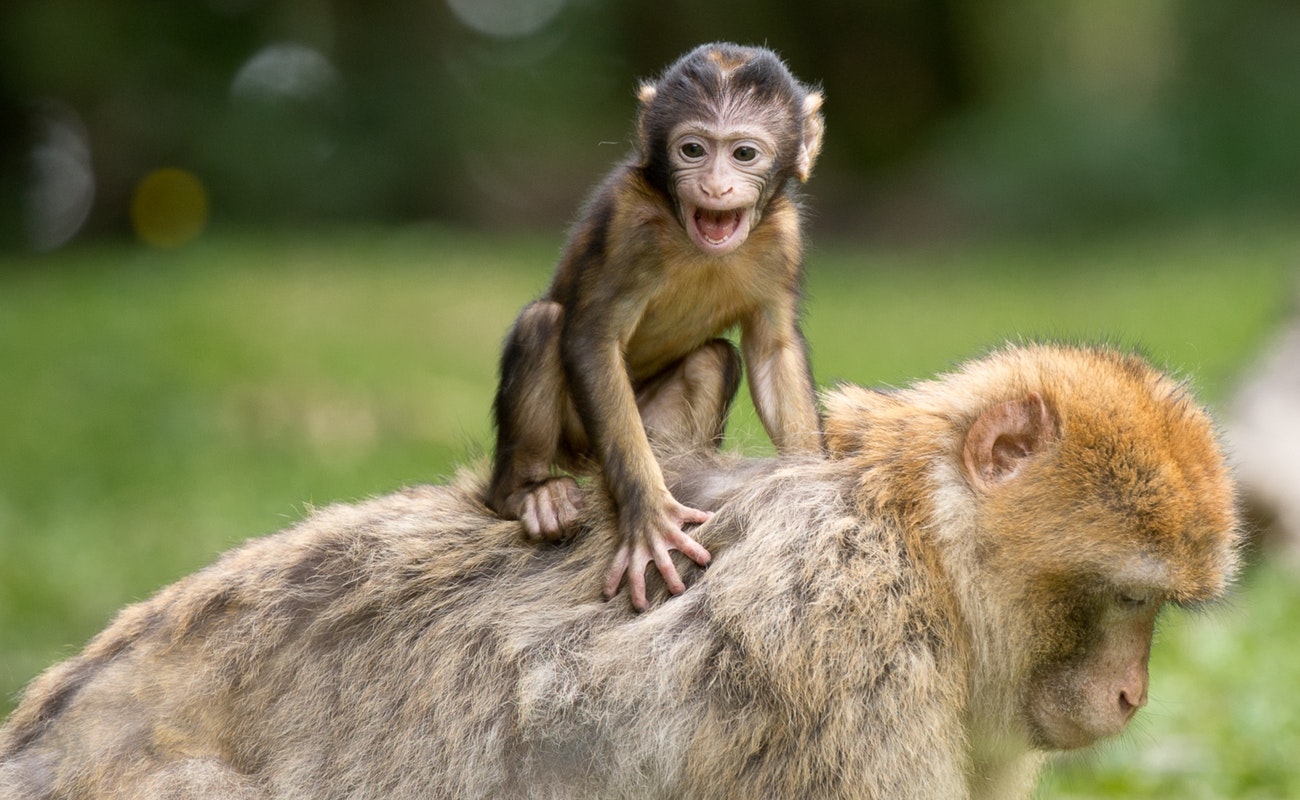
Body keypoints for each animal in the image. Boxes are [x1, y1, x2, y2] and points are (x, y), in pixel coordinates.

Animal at [483, 42, 826, 606]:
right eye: (693, 150)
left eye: (743, 154)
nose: (714, 185)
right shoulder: (629, 224)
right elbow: (592, 340)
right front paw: (647, 517)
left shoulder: (784, 237)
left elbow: (772, 349)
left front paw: (808, 488)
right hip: (578, 441)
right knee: (545, 324)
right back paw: (527, 493)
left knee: (713, 359)